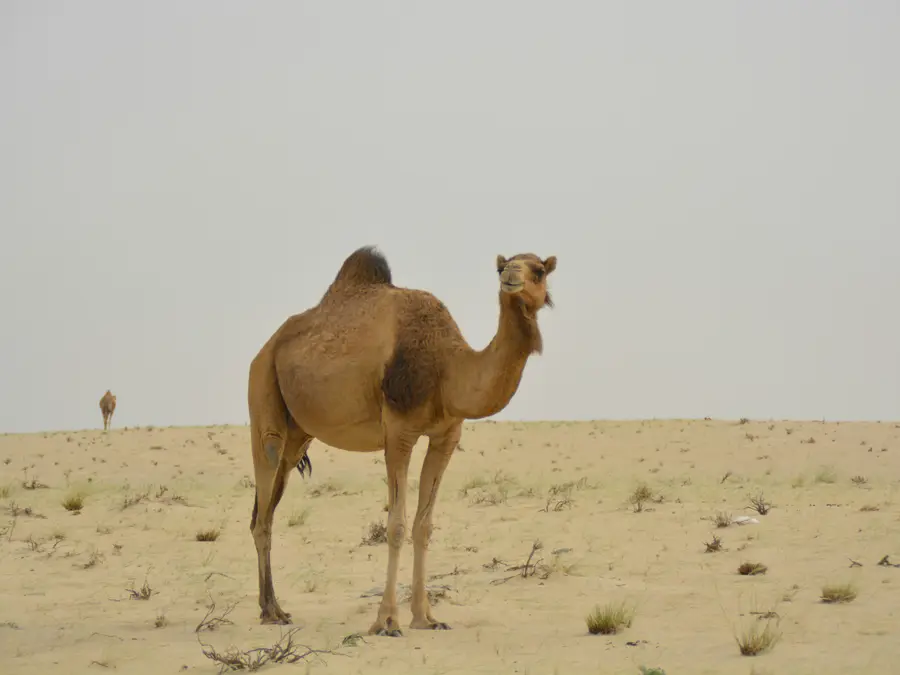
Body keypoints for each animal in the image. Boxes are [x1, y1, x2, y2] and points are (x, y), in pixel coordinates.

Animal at [248, 246, 557, 635]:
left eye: (539, 271)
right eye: (502, 267)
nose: (510, 276)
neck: (447, 368)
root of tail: (265, 348)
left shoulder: (446, 435)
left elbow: (424, 525)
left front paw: (426, 618)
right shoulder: (398, 432)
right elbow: (396, 524)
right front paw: (386, 621)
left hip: (298, 436)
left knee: (267, 508)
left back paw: (274, 606)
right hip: (263, 394)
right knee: (263, 497)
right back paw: (269, 612)